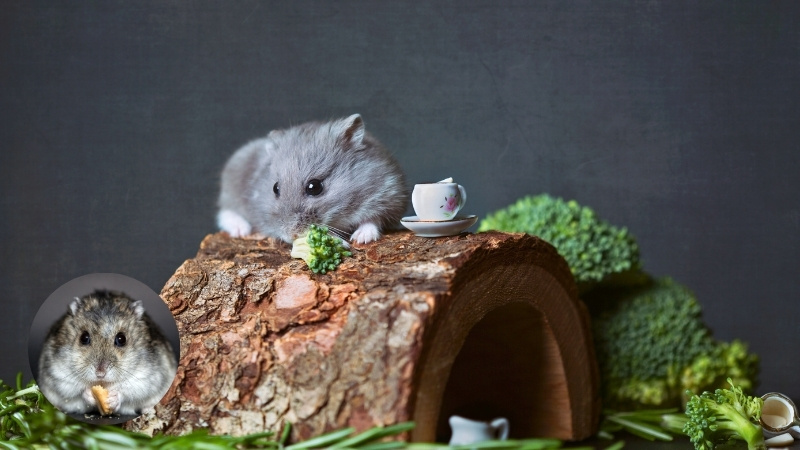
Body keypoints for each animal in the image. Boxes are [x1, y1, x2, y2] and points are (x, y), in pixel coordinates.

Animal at [37, 290, 177, 416]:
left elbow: (127, 391)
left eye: (121, 339)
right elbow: (78, 391)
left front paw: (112, 399)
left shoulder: (145, 378)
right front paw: (89, 394)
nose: (100, 373)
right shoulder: (59, 375)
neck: (103, 383)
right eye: (84, 338)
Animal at [217, 114, 408, 244]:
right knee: (226, 212)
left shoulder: (389, 194)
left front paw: (360, 239)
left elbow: (373, 220)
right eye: (275, 188)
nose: (291, 236)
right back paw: (241, 230)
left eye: (314, 187)